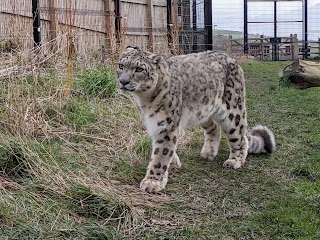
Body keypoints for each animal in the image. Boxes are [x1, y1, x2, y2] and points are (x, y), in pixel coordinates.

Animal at [117, 47, 276, 193]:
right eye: (121, 65)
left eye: (139, 69)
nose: (123, 81)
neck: (145, 101)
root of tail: (231, 58)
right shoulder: (154, 124)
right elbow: (165, 149)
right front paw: (174, 163)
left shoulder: (166, 125)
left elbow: (161, 154)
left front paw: (152, 181)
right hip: (204, 112)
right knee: (214, 128)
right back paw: (208, 152)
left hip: (233, 111)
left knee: (241, 138)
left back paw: (235, 161)